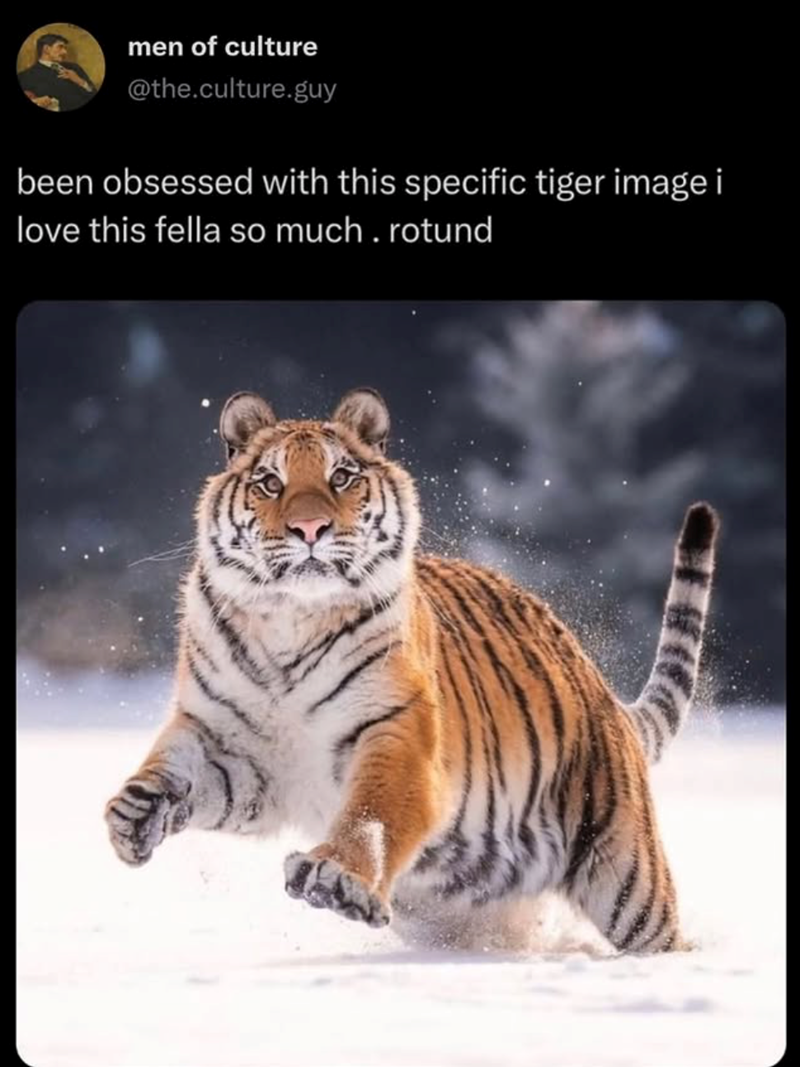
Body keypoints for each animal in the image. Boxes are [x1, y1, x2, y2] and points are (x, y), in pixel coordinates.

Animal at [104, 387, 719, 954]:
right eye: (270, 483)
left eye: (342, 476)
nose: (310, 528)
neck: (290, 621)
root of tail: (602, 693)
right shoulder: (234, 748)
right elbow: (171, 769)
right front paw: (133, 816)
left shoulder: (396, 731)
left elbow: (371, 814)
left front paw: (335, 878)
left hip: (627, 879)